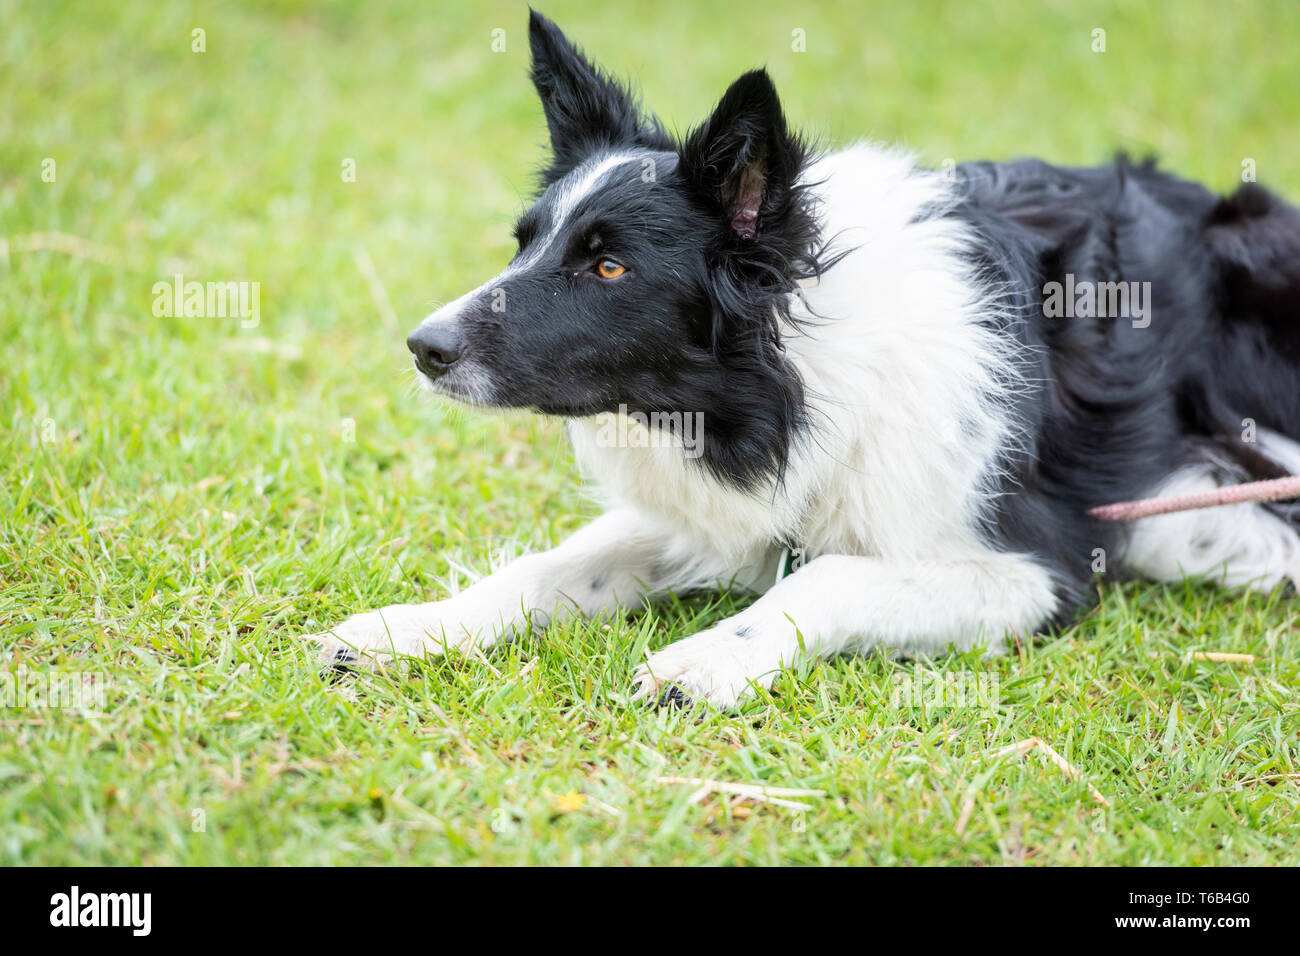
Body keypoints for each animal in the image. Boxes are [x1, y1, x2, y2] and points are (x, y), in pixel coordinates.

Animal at [309, 11, 1294, 707]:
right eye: (524, 244)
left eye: (608, 266)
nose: (423, 347)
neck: (795, 376)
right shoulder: (713, 515)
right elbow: (551, 565)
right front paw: (413, 628)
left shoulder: (1031, 570)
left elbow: (830, 574)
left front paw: (710, 658)